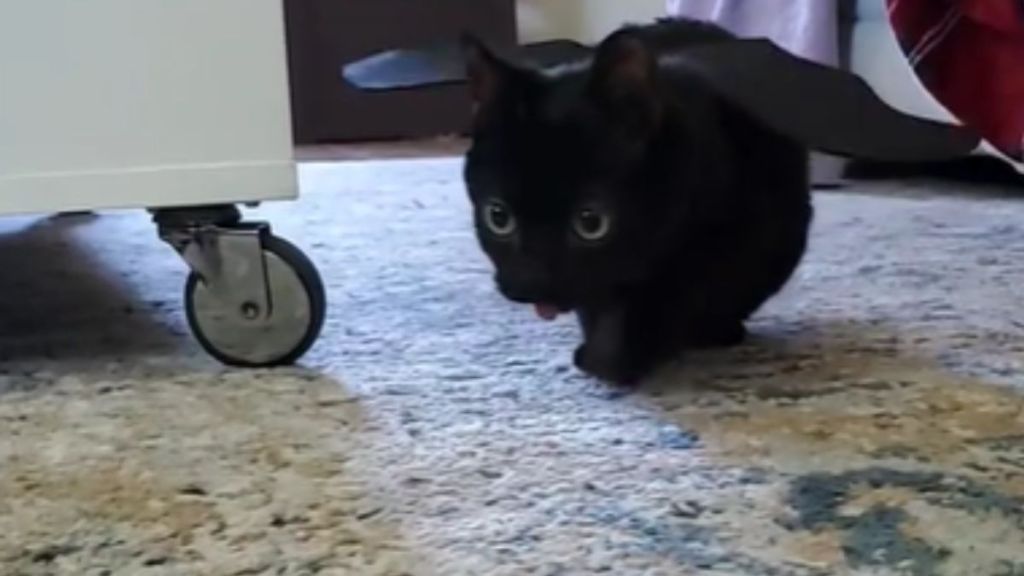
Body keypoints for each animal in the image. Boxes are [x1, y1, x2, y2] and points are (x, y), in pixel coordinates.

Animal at [460, 20, 811, 383]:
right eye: (498, 217)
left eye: (591, 223)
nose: (530, 282)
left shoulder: (734, 235)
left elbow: (678, 293)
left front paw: (616, 356)